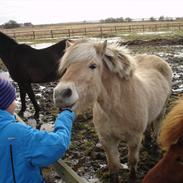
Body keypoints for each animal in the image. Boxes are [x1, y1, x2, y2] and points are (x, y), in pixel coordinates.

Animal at [52, 40, 172, 183]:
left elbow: (132, 162)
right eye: (67, 67)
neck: (117, 107)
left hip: (161, 110)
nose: (61, 94)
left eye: (93, 66)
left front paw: (132, 178)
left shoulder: (134, 139)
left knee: (157, 126)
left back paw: (154, 146)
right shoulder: (107, 141)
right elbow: (113, 165)